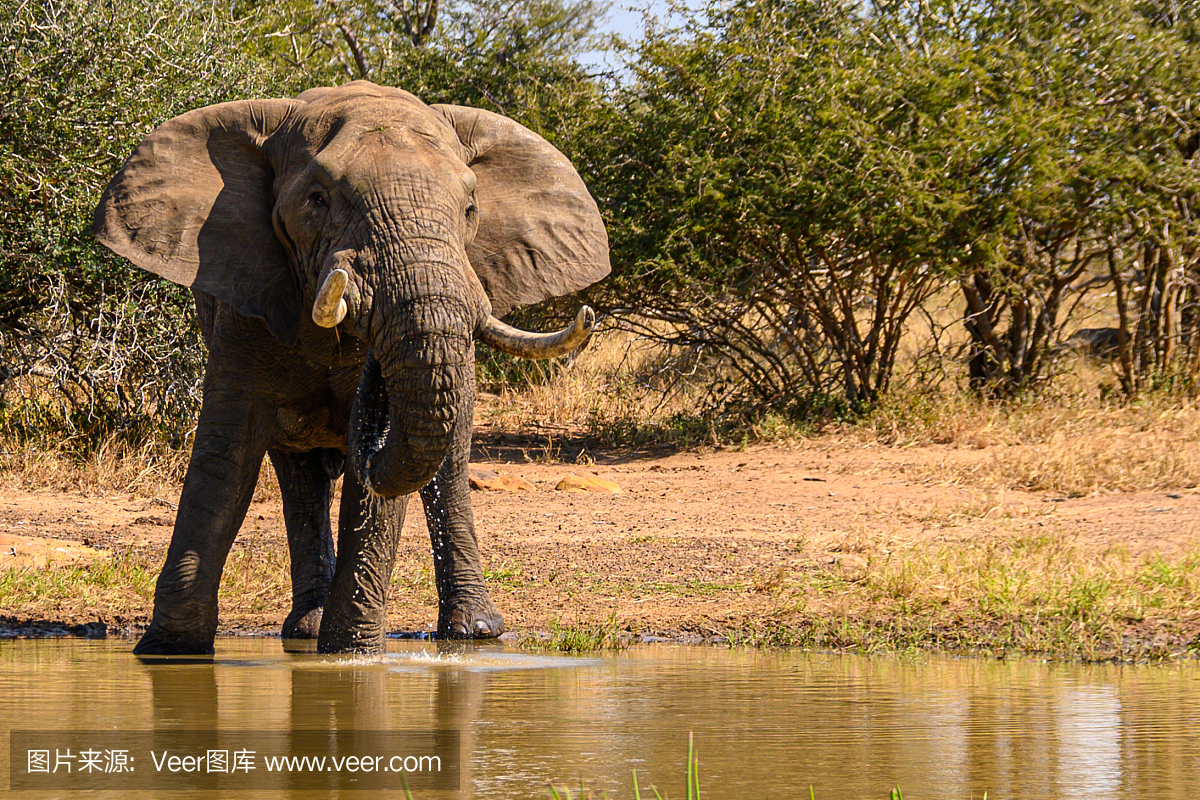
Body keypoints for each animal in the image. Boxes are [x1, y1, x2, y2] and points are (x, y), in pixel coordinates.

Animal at [92, 81, 609, 652]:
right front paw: (168, 653)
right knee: (298, 474)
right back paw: (306, 629)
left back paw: (474, 632)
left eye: (470, 208)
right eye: (317, 200)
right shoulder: (245, 299)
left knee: (447, 462)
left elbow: (374, 491)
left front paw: (350, 655)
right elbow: (225, 458)